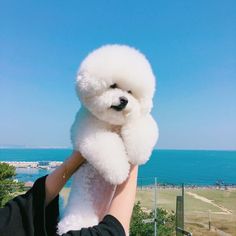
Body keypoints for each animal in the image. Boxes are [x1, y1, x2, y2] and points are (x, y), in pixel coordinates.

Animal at [57, 44, 159, 234]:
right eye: (113, 86)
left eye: (130, 92)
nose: (124, 100)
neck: (112, 123)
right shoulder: (87, 131)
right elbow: (106, 145)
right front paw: (119, 170)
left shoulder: (141, 120)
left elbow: (141, 127)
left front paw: (138, 153)